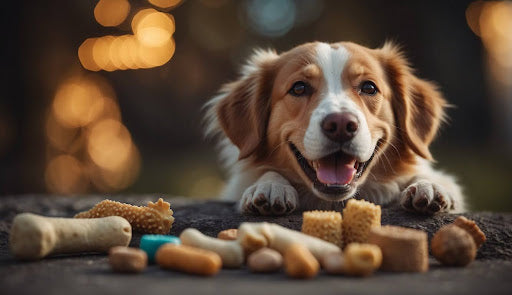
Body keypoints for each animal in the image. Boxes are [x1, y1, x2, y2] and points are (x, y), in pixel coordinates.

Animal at [204, 41, 464, 216]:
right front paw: (269, 185)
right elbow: (267, 172)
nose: (340, 125)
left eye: (369, 87)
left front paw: (429, 184)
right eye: (299, 88)